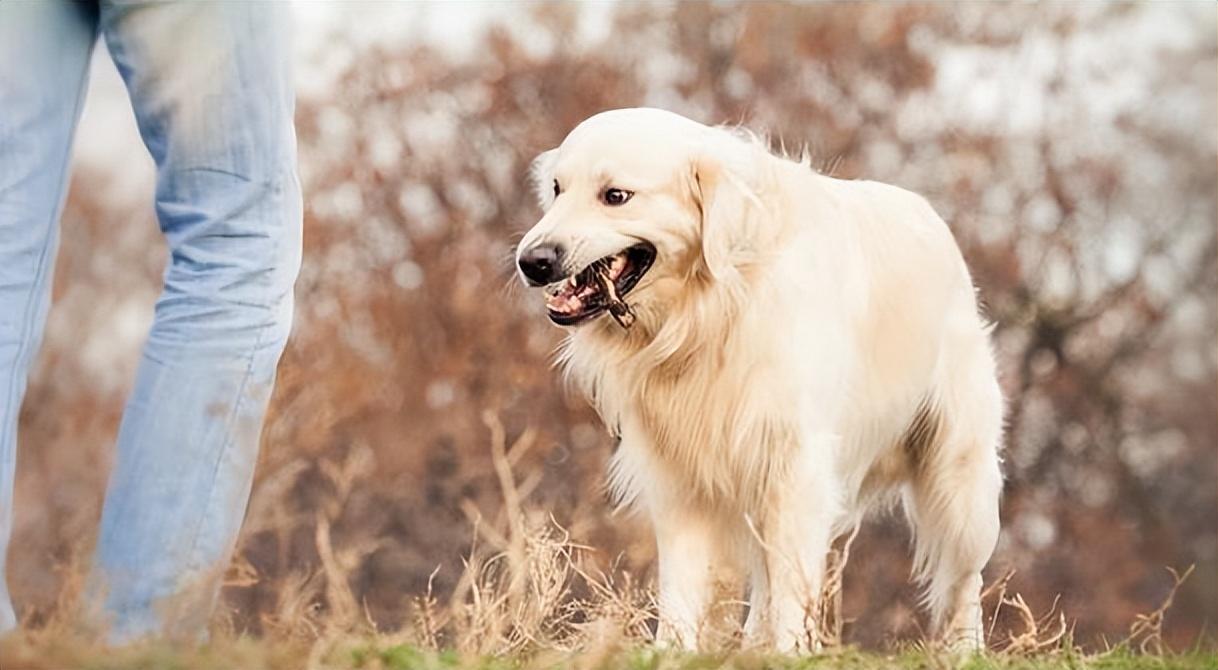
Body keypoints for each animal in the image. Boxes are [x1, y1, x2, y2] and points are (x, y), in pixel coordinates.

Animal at [513, 107, 998, 652]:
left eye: (615, 196)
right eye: (557, 188)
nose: (532, 261)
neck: (710, 309)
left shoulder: (797, 464)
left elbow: (790, 581)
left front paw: (790, 653)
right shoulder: (680, 474)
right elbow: (684, 581)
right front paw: (672, 650)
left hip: (961, 480)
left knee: (963, 580)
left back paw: (966, 650)